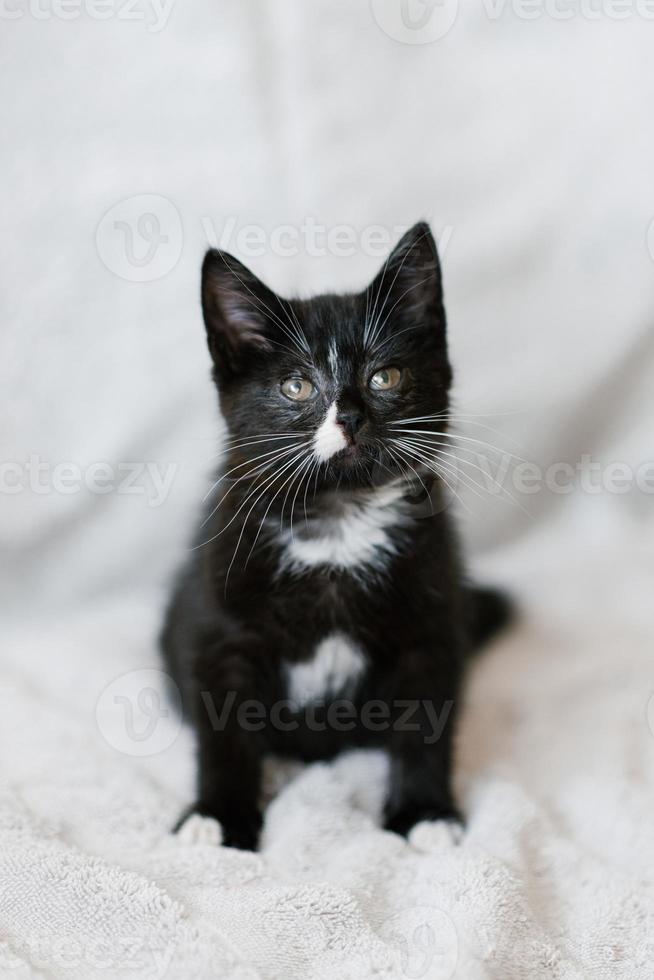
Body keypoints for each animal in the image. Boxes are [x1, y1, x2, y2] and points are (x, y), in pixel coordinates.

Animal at [161, 222, 510, 848]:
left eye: (385, 376)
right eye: (297, 386)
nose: (349, 416)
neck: (339, 521)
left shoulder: (432, 624)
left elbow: (426, 726)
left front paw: (424, 813)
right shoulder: (219, 626)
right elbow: (224, 732)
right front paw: (218, 816)